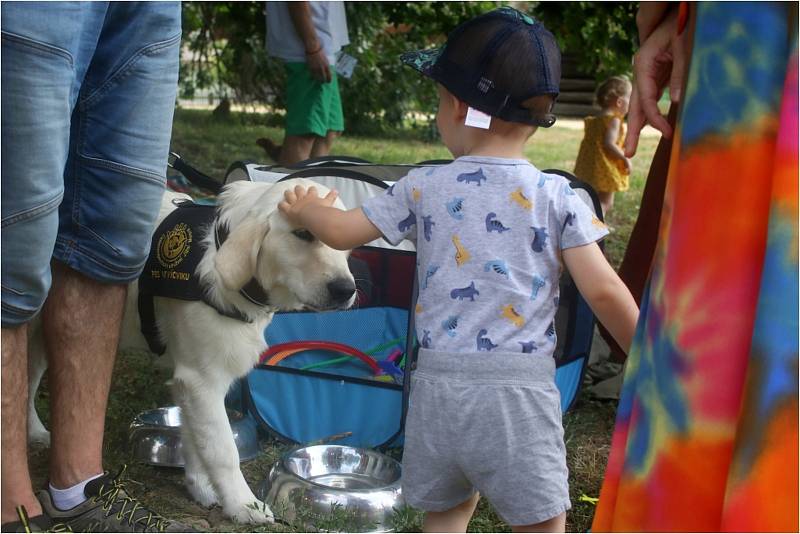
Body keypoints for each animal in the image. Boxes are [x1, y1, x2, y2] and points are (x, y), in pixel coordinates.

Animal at [26, 179, 354, 524]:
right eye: (303, 233)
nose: (346, 291)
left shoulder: (191, 382)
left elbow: (196, 441)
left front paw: (202, 489)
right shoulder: (202, 380)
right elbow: (223, 450)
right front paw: (243, 505)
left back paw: (36, 433)